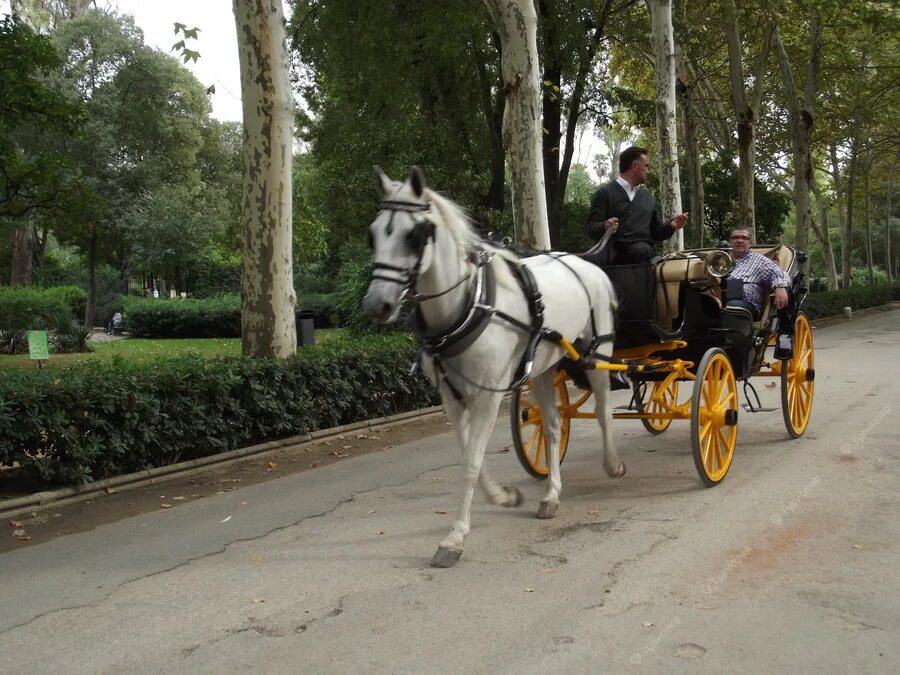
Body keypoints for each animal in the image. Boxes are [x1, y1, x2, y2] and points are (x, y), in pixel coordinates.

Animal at [362, 166, 624, 568]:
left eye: (414, 236)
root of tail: (586, 264)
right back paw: (551, 494)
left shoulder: (487, 395)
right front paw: (504, 497)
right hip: (544, 369)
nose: (378, 305)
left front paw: (454, 538)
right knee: (552, 426)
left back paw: (612, 464)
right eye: (373, 233)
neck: (469, 304)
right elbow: (469, 455)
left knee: (604, 412)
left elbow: (471, 462)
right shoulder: (452, 396)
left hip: (597, 354)